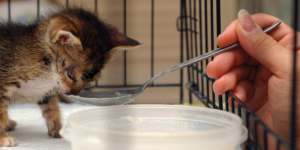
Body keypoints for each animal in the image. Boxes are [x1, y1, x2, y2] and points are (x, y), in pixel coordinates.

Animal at [0, 7, 139, 146]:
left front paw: (58, 129)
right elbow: (1, 113)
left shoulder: (46, 93)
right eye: (71, 75)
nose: (74, 93)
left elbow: (51, 109)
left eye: (90, 80)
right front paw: (3, 138)